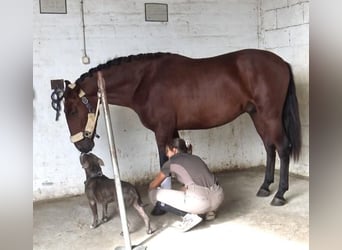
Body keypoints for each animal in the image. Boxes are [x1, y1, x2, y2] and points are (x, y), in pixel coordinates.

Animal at [62, 48, 302, 205]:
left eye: (71, 111)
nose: (82, 147)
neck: (144, 81)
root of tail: (282, 63)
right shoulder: (172, 130)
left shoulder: (161, 131)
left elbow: (164, 163)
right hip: (258, 116)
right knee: (269, 147)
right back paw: (265, 187)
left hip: (270, 116)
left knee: (282, 148)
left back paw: (280, 194)